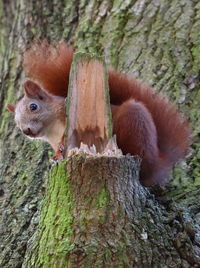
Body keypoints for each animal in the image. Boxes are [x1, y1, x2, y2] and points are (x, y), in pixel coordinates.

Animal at [6, 41, 191, 186]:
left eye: (33, 107)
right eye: (16, 122)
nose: (26, 131)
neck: (52, 130)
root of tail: (158, 162)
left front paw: (61, 147)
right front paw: (57, 155)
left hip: (134, 121)